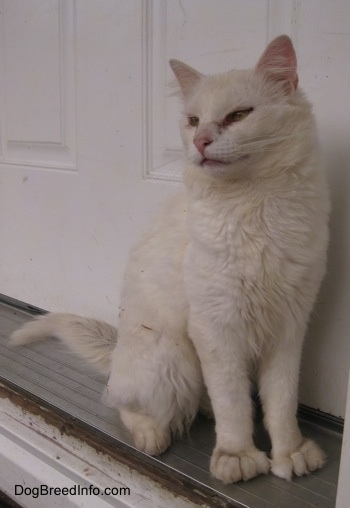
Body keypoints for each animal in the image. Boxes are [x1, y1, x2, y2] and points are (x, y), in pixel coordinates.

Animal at [10, 36, 328, 484]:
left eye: (239, 115)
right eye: (194, 121)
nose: (201, 143)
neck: (255, 205)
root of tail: (118, 352)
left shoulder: (289, 326)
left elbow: (280, 402)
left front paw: (290, 454)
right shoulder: (216, 329)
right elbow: (233, 406)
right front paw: (237, 457)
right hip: (173, 360)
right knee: (121, 401)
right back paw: (152, 436)